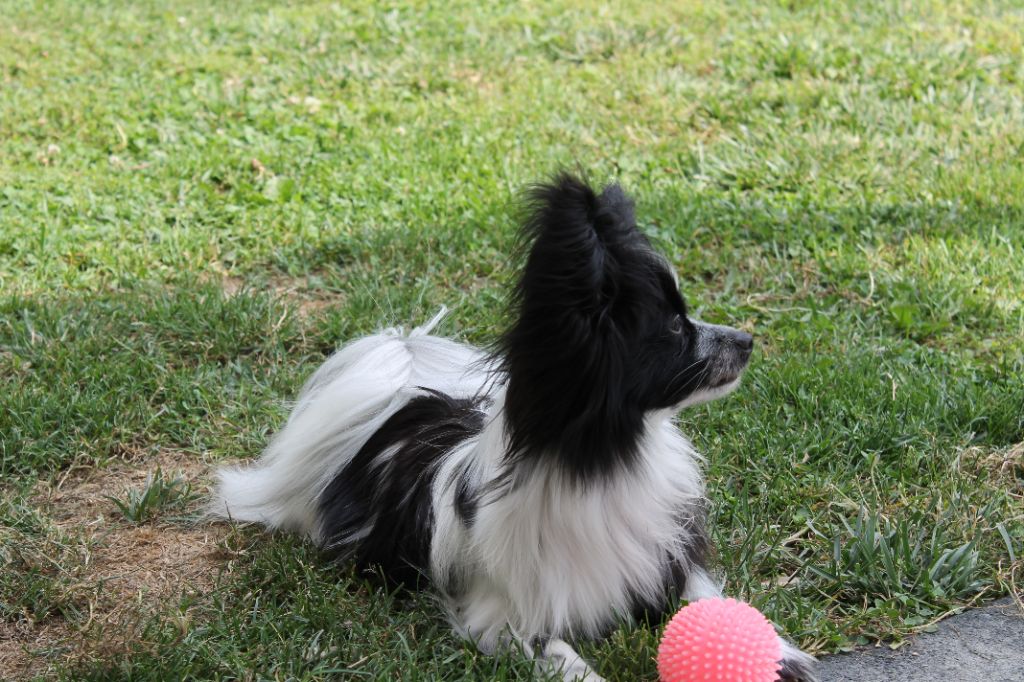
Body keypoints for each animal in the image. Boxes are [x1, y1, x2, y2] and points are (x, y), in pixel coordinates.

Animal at [211, 173, 819, 675]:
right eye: (673, 327)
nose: (747, 339)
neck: (610, 456)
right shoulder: (504, 615)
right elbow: (567, 660)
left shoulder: (663, 562)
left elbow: (713, 600)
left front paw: (785, 655)